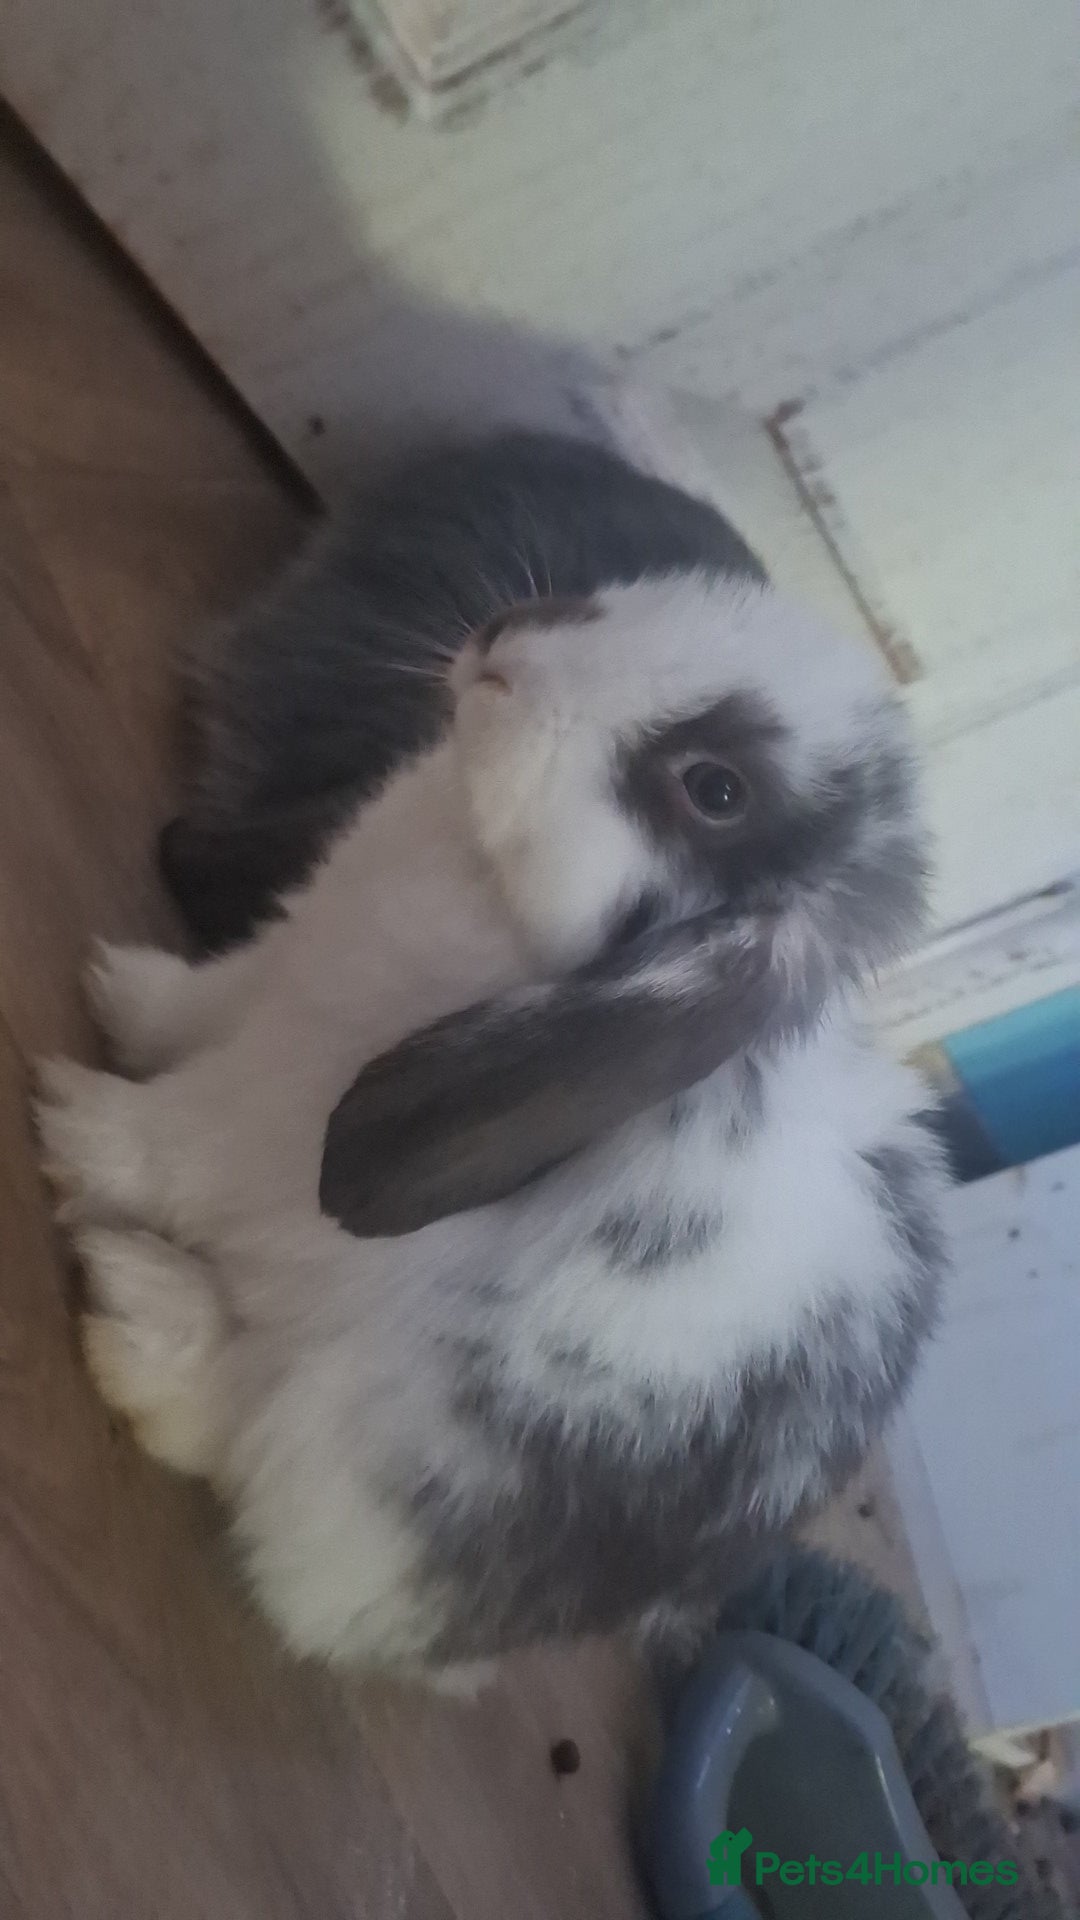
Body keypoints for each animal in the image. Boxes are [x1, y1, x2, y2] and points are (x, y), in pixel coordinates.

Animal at [37, 431, 948, 1687]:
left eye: (714, 789)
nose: (515, 634)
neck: (473, 872)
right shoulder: (273, 974)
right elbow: (195, 1005)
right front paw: (117, 989)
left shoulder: (279, 1108)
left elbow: (173, 1143)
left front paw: (67, 1116)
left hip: (371, 1449)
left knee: (247, 1446)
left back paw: (138, 1313)